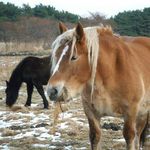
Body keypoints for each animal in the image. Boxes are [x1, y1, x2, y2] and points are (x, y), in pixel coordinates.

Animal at [46, 21, 149, 149]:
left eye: (74, 57)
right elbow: (95, 137)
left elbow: (130, 137)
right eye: (56, 55)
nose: (52, 91)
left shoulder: (131, 112)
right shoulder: (91, 112)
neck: (111, 73)